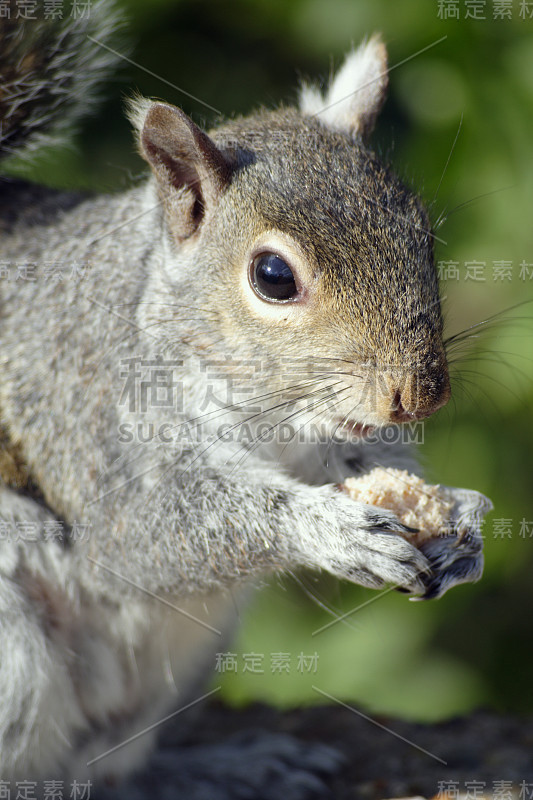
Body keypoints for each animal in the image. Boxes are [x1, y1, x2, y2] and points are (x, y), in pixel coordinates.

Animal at [0, 3, 490, 796]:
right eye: (272, 276)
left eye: (421, 234)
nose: (418, 398)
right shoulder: (90, 412)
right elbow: (141, 534)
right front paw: (328, 530)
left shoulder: (324, 436)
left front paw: (464, 520)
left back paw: (216, 769)